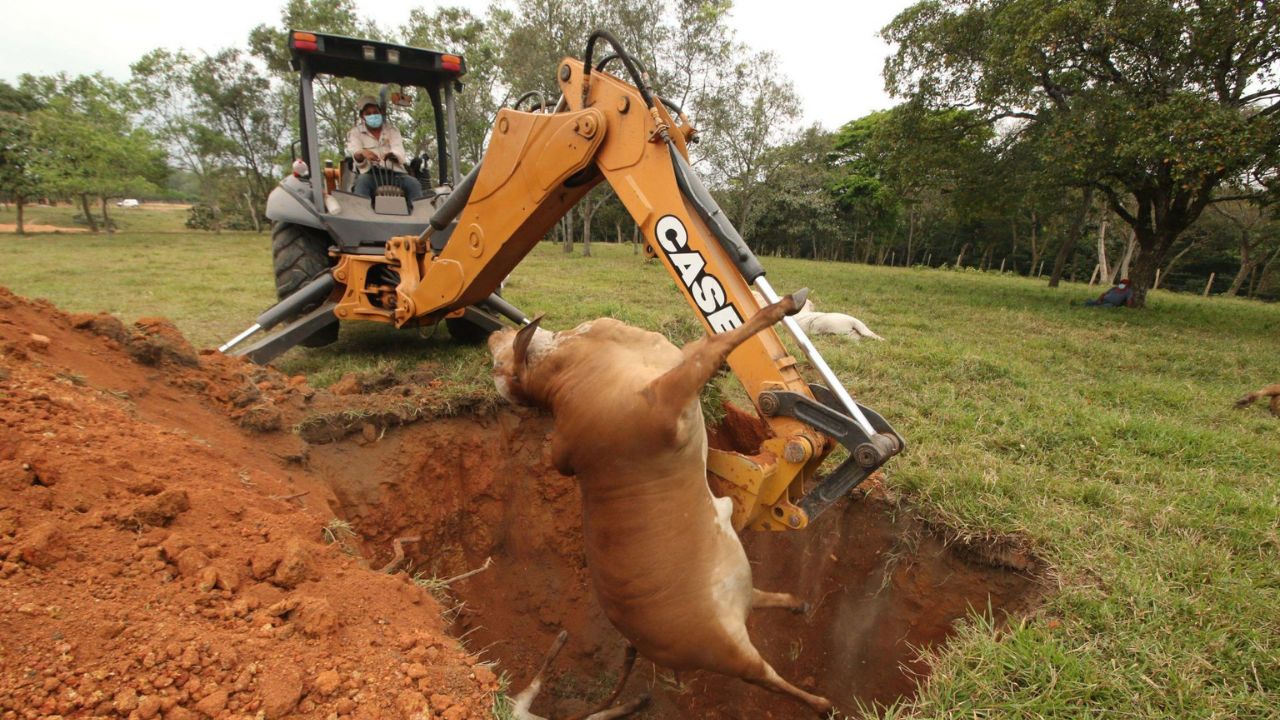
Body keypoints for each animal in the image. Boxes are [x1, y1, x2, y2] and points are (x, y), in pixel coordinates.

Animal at [483, 288, 834, 712]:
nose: (491, 333)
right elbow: (722, 340)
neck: (570, 372)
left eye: (496, 362)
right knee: (767, 678)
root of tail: (639, 643)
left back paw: (796, 604)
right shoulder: (669, 397)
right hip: (730, 654)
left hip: (739, 589)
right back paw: (821, 703)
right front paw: (783, 306)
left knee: (758, 599)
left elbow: (711, 343)